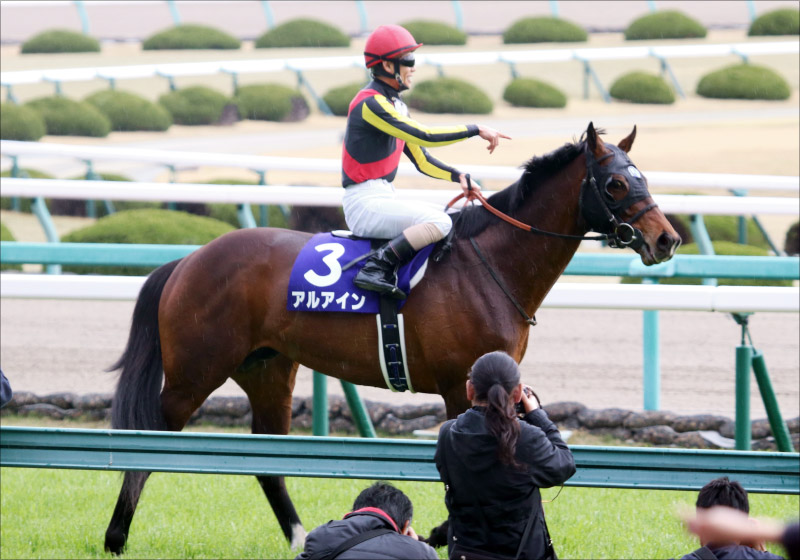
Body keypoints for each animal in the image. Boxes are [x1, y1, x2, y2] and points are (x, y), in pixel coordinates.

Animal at [104, 123, 680, 553]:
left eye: (643, 177)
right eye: (615, 184)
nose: (667, 239)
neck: (491, 266)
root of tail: (187, 260)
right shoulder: (459, 385)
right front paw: (444, 531)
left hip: (267, 370)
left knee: (269, 463)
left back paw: (299, 537)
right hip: (195, 372)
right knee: (147, 440)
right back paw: (115, 536)